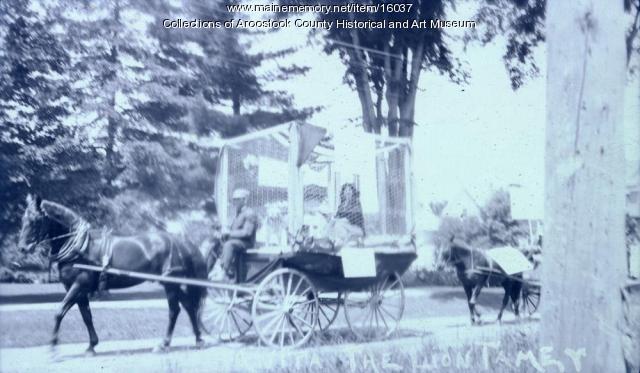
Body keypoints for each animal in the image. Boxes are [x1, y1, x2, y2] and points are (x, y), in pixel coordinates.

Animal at [17, 195, 208, 354]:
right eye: (23, 219)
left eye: (35, 220)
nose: (22, 248)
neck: (79, 247)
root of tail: (182, 242)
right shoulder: (79, 290)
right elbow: (86, 316)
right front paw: (91, 346)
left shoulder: (79, 285)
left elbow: (59, 312)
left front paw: (52, 347)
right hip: (171, 283)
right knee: (189, 306)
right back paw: (198, 339)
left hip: (170, 283)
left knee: (174, 310)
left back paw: (164, 344)